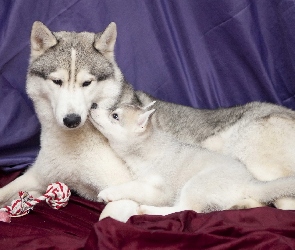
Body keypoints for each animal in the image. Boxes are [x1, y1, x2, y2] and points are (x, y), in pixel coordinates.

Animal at [90, 102, 295, 216]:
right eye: (113, 110)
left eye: (115, 115)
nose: (93, 106)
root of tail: (249, 182)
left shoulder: (161, 190)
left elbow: (132, 187)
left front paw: (109, 193)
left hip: (196, 184)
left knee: (186, 209)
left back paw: (148, 210)